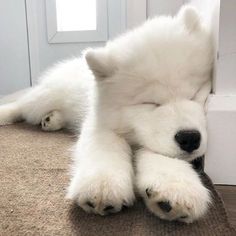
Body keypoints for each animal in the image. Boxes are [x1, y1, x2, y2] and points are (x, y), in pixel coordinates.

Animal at [0, 6, 213, 223]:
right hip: (43, 98)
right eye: (150, 103)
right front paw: (102, 185)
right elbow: (106, 149)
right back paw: (7, 114)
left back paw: (52, 120)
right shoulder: (100, 124)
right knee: (21, 105)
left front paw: (176, 189)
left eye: (195, 93)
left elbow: (164, 157)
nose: (190, 138)